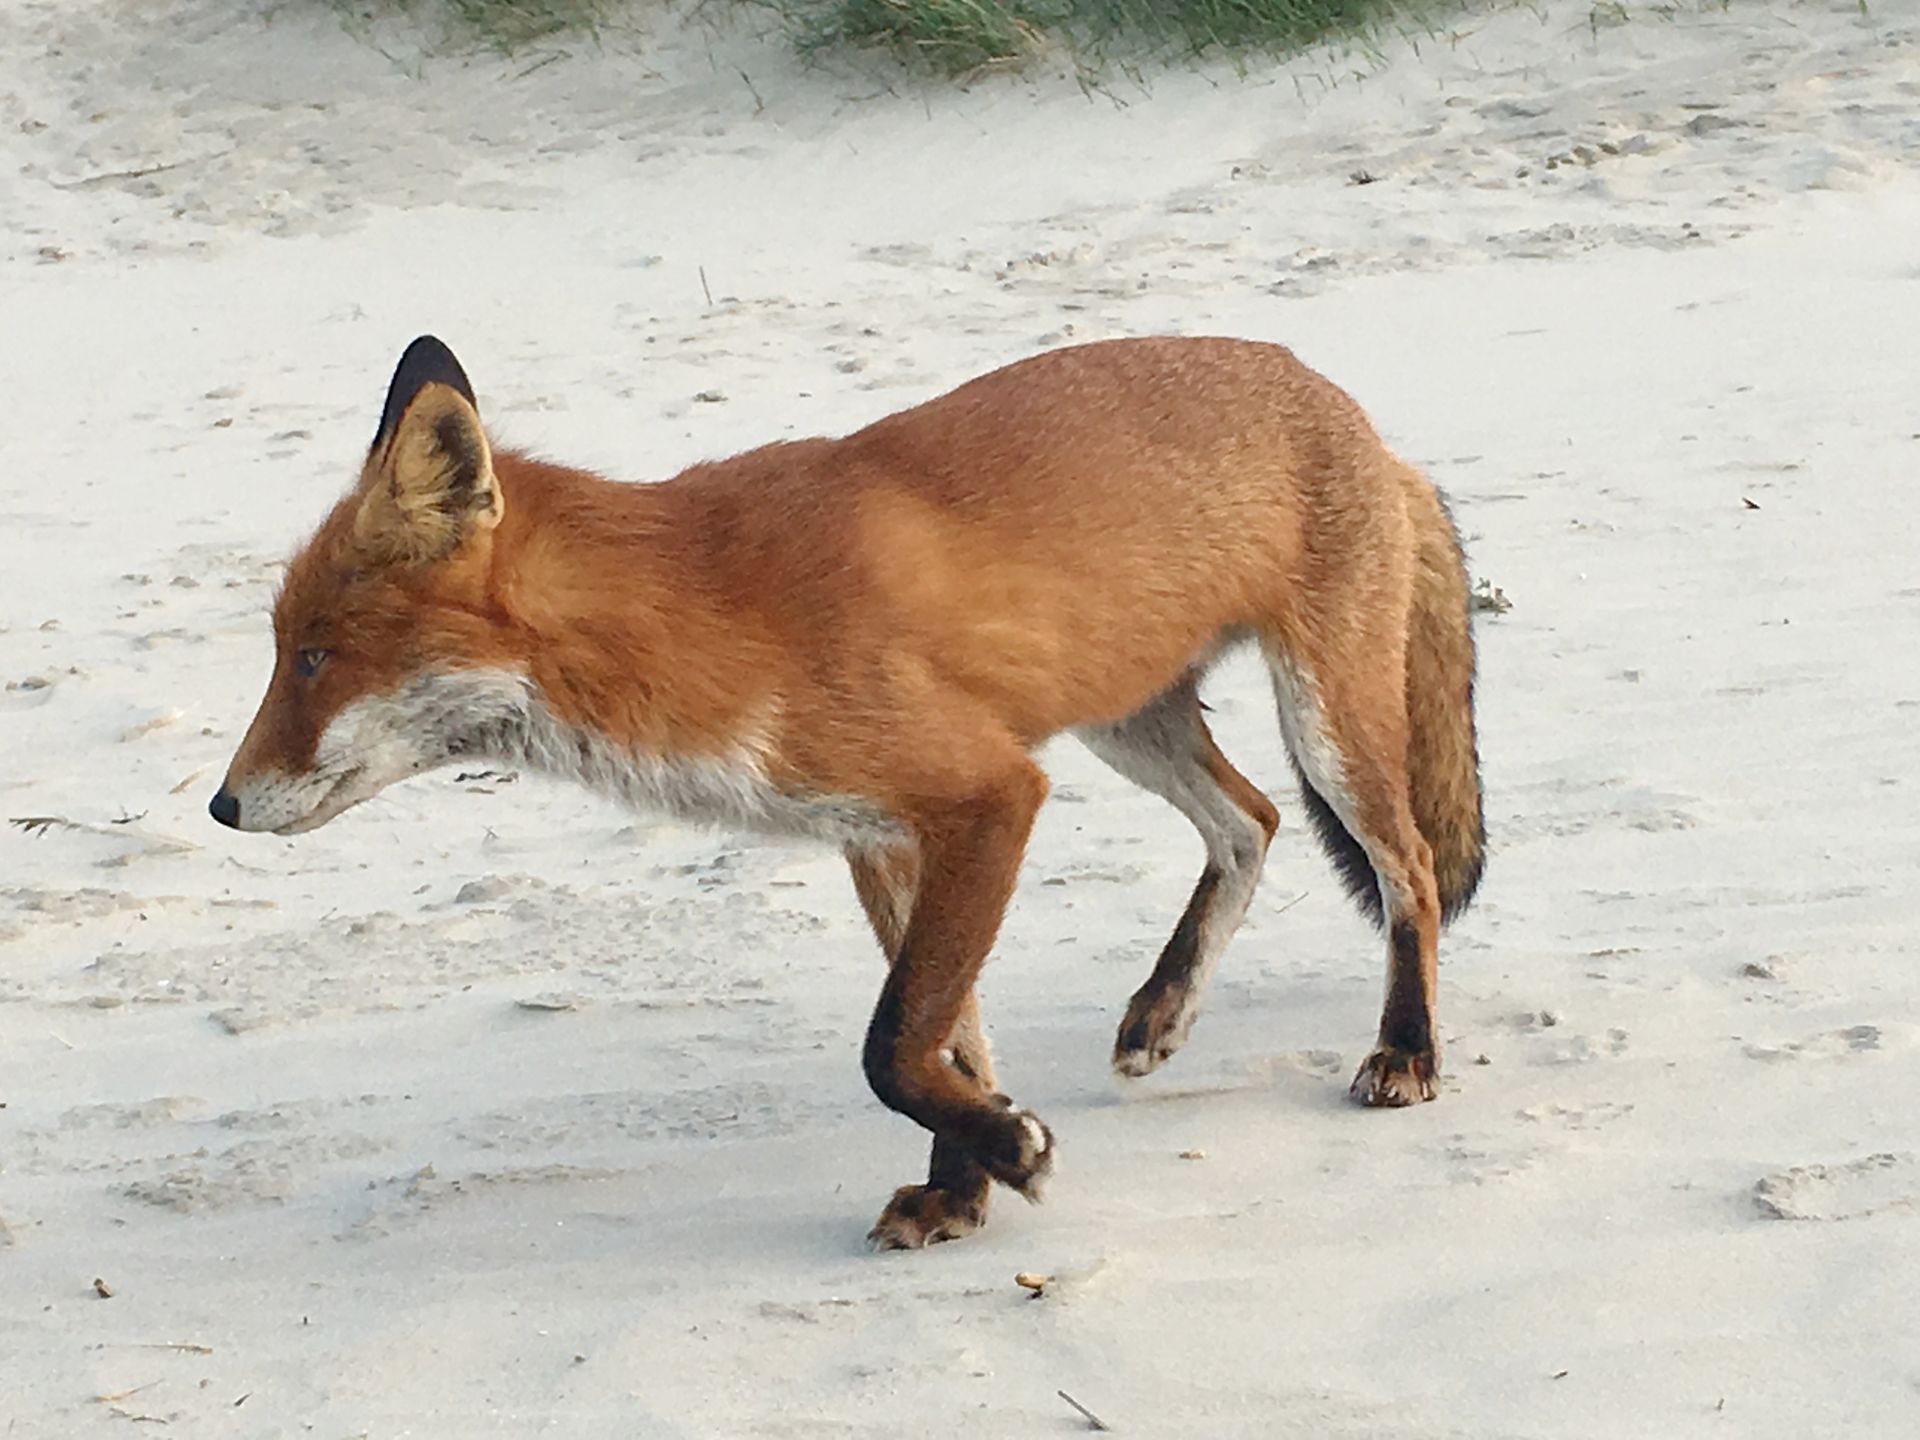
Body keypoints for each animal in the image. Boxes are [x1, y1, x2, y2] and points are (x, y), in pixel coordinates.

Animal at [211, 333, 1484, 1249]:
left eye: (315, 656)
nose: (221, 807)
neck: (716, 621)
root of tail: (1354, 411)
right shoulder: (884, 837)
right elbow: (946, 1045)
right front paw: (962, 1189)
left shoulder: (989, 795)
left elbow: (890, 1048)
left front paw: (1010, 1158)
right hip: (1128, 722)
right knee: (1252, 823)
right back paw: (1163, 1010)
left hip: (1323, 725)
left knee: (1409, 870)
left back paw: (1408, 1051)